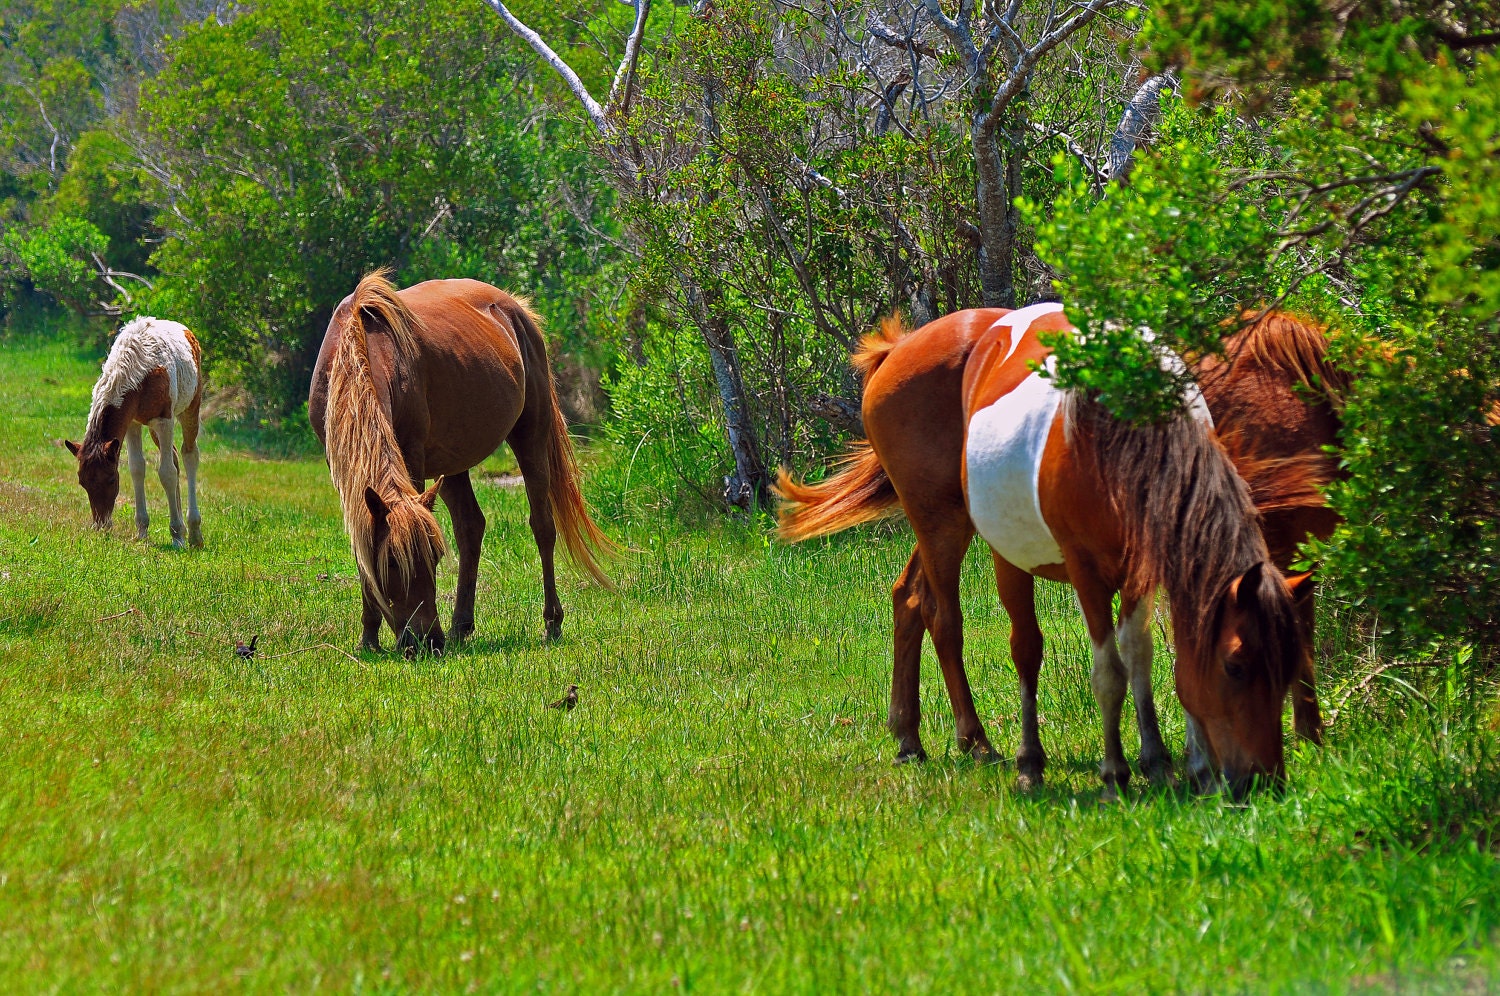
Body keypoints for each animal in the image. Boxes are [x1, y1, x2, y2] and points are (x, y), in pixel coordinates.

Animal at [68, 316, 205, 549]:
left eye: (111, 480)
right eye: (82, 482)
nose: (101, 525)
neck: (140, 370)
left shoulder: (164, 420)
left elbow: (166, 473)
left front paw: (177, 536)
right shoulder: (132, 423)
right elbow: (137, 468)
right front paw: (142, 531)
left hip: (190, 409)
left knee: (189, 456)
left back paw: (194, 533)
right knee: (174, 457)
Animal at [307, 273, 612, 654]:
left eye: (435, 557)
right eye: (391, 562)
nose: (428, 641)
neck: (358, 348)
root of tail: (514, 307)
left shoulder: (411, 458)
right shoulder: (342, 470)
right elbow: (362, 541)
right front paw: (369, 638)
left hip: (531, 435)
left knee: (542, 526)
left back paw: (550, 623)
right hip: (452, 463)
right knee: (470, 527)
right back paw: (461, 626)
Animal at [780, 303, 1308, 804]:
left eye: (1287, 662)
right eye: (1235, 666)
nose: (1265, 781)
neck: (1119, 435)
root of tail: (897, 348)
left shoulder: (1139, 571)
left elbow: (1139, 655)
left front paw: (1157, 760)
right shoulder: (1086, 572)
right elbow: (1107, 672)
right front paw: (1111, 774)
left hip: (960, 525)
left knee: (909, 598)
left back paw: (909, 737)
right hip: (942, 523)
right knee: (954, 622)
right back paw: (985, 744)